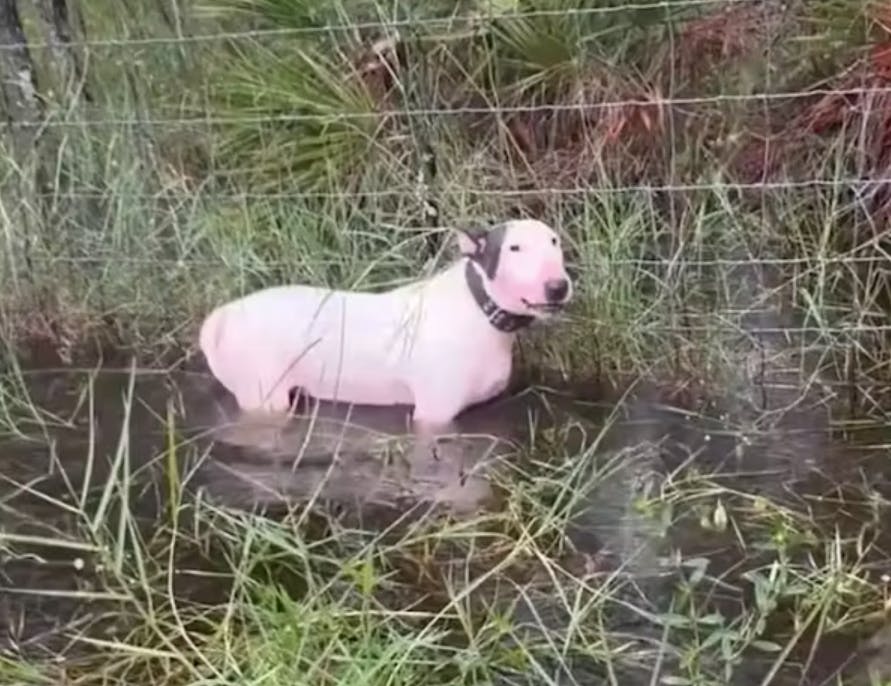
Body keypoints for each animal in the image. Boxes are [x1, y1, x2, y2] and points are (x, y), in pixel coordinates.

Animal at [199, 219, 576, 446]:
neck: (478, 308)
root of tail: (221, 316)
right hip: (263, 394)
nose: (558, 286)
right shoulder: (433, 415)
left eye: (554, 242)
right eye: (514, 248)